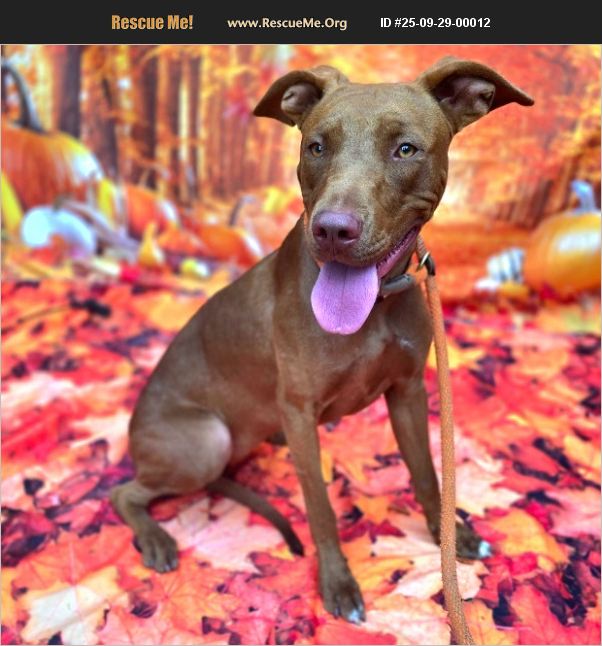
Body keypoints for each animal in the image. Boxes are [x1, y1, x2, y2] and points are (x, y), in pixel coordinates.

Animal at [112, 57, 533, 623]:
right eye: (316, 146)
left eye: (406, 149)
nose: (333, 230)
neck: (372, 310)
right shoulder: (299, 413)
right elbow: (320, 507)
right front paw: (338, 583)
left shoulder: (408, 392)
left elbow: (426, 473)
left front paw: (451, 537)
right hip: (204, 441)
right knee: (124, 493)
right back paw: (154, 537)